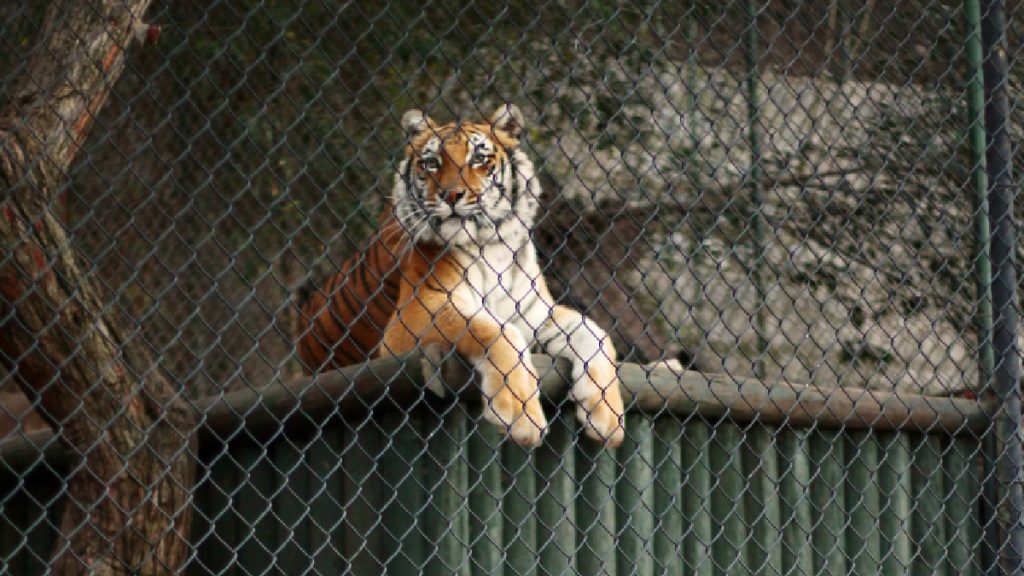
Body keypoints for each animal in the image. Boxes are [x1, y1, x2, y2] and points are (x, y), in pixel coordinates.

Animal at [292, 103, 618, 446]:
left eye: (478, 159)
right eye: (432, 163)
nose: (450, 195)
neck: (493, 245)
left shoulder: (536, 313)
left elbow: (595, 333)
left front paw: (607, 417)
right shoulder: (415, 314)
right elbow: (496, 329)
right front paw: (520, 415)